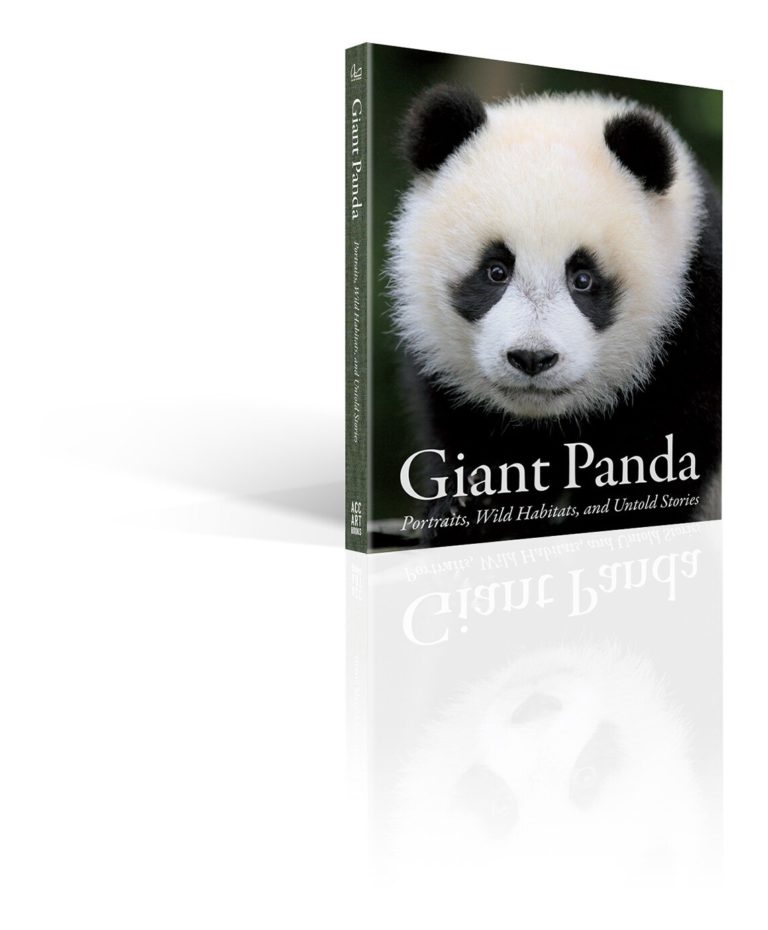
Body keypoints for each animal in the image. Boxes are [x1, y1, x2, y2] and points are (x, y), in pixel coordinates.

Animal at [387, 86, 721, 546]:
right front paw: (469, 508)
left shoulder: (695, 321)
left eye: (582, 278)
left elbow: (665, 451)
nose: (532, 358)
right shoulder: (440, 369)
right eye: (496, 270)